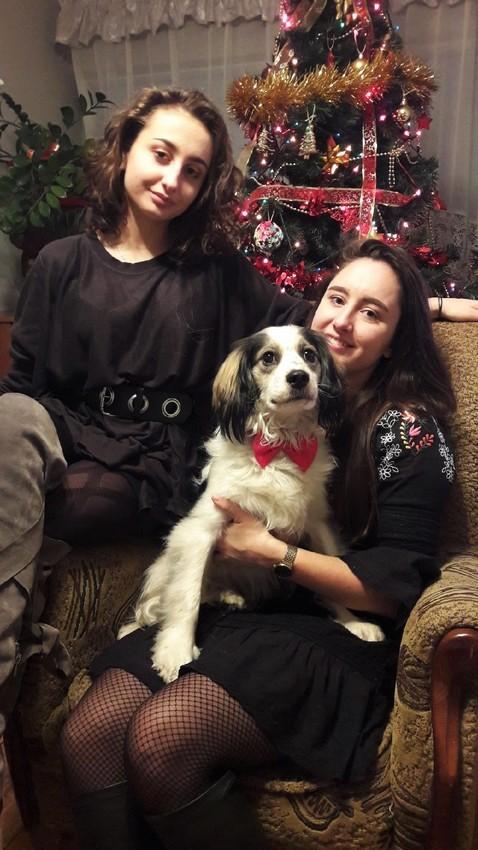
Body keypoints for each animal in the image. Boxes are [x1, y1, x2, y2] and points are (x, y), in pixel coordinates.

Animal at [119, 325, 384, 682]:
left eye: (309, 355)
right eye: (268, 358)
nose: (299, 377)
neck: (280, 446)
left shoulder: (317, 521)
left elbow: (333, 575)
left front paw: (352, 622)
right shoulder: (200, 529)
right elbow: (187, 594)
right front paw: (175, 650)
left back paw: (231, 596)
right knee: (167, 599)